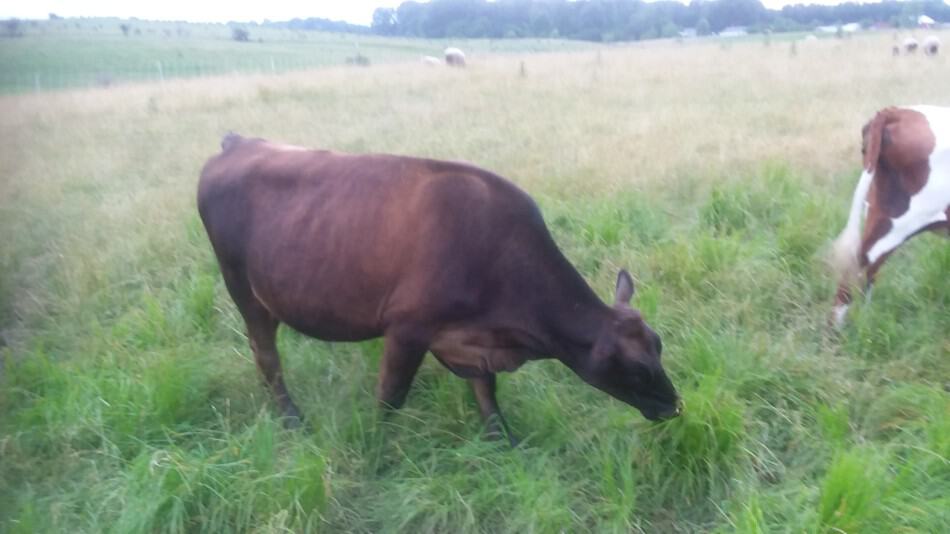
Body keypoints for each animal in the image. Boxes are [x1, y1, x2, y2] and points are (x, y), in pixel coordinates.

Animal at [197, 135, 684, 444]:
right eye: (638, 369)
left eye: (659, 346)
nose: (675, 407)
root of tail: (240, 142)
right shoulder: (407, 329)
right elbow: (390, 398)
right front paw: (375, 448)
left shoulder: (470, 342)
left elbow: (487, 394)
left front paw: (503, 442)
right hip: (243, 289)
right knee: (267, 357)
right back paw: (293, 420)